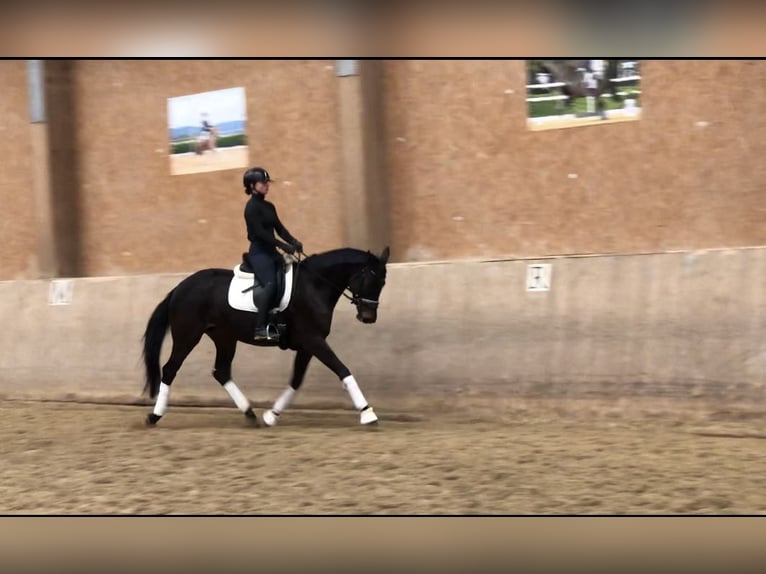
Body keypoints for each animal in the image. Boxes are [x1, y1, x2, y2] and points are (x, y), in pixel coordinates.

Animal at [141, 245, 390, 430]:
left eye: (383, 283)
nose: (368, 317)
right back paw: (154, 416)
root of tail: (180, 287)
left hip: (225, 338)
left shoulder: (307, 346)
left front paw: (272, 415)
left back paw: (250, 414)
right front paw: (368, 413)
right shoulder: (313, 340)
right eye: (371, 279)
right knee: (170, 369)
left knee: (221, 372)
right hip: (188, 336)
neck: (314, 285)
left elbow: (296, 380)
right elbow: (342, 370)